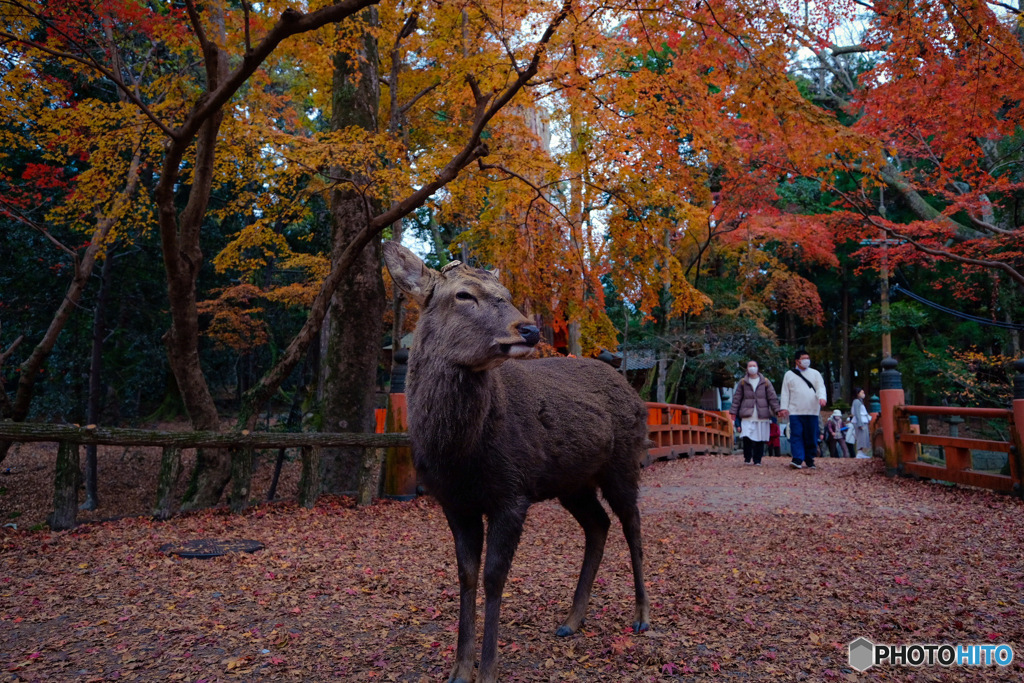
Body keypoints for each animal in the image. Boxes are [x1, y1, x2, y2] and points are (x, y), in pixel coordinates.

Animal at [380, 242, 651, 679]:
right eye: (463, 295)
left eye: (506, 294)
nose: (529, 329)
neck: (459, 456)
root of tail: (629, 387)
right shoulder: (454, 503)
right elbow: (466, 576)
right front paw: (459, 671)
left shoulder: (512, 493)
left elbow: (494, 578)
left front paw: (487, 671)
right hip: (572, 483)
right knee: (598, 524)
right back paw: (571, 621)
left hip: (625, 463)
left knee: (633, 525)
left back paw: (642, 616)